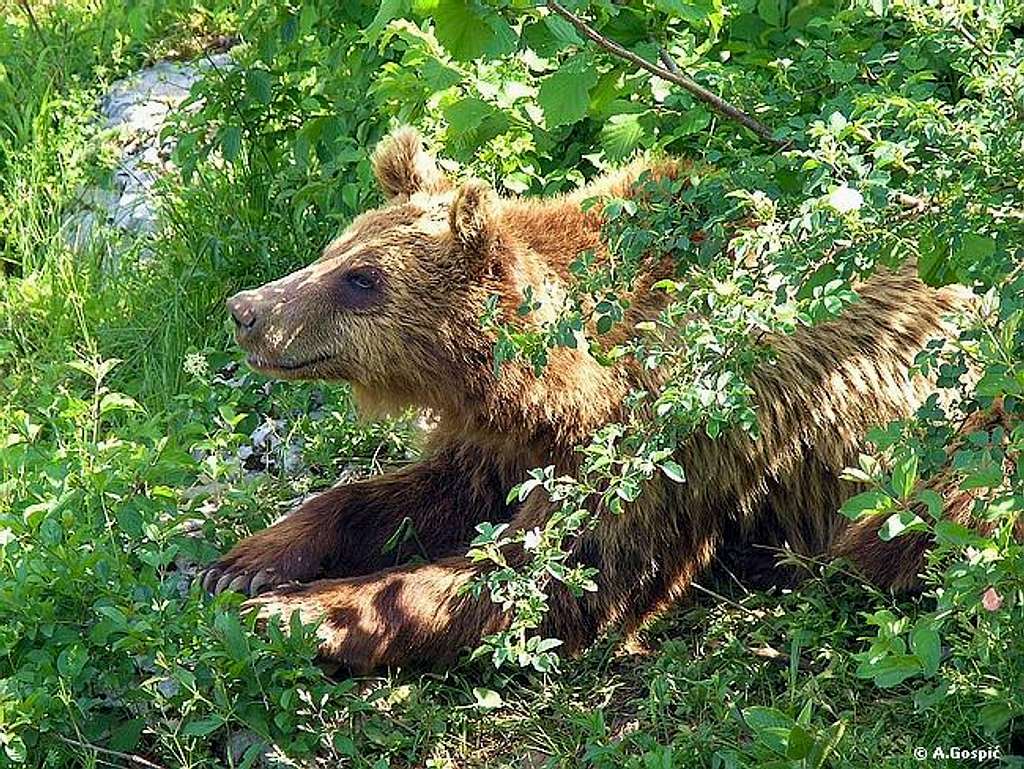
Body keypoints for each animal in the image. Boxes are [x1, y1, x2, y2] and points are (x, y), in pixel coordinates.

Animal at [201, 123, 974, 671]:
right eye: (336, 249)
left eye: (362, 279)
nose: (245, 310)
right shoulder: (501, 439)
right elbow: (416, 493)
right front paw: (244, 564)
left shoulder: (668, 435)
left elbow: (562, 573)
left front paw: (295, 613)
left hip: (949, 447)